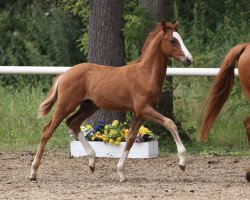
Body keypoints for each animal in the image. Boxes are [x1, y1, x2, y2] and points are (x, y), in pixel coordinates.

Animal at [29, 20, 193, 183]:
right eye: (172, 40)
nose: (189, 59)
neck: (145, 75)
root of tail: (64, 74)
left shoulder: (139, 114)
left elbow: (130, 138)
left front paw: (121, 172)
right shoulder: (144, 109)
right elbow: (170, 123)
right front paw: (182, 163)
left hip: (89, 106)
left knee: (73, 122)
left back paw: (92, 162)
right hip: (66, 105)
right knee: (47, 131)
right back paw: (33, 172)